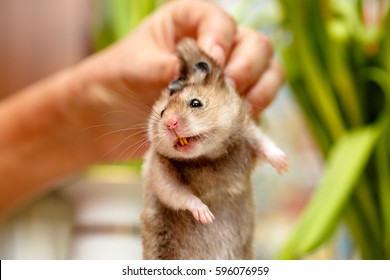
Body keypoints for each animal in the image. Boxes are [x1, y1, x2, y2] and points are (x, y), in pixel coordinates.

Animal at [140, 37, 286, 260]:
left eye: (196, 103)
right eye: (162, 112)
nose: (170, 123)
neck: (207, 157)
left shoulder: (246, 130)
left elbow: (264, 143)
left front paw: (284, 165)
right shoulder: (160, 170)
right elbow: (177, 193)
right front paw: (207, 215)